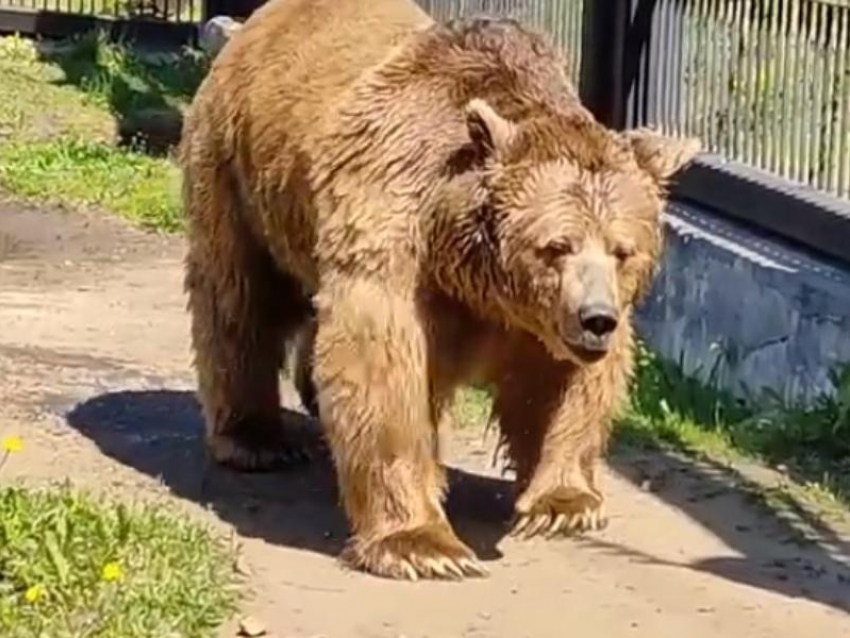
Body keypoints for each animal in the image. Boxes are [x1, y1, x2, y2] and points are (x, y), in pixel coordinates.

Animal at [179, 0, 696, 584]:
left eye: (622, 250)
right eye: (555, 246)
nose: (596, 319)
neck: (475, 274)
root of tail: (256, 24)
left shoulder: (535, 321)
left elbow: (561, 386)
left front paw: (562, 503)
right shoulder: (397, 236)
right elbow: (384, 372)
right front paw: (423, 544)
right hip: (243, 179)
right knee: (240, 300)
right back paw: (254, 440)